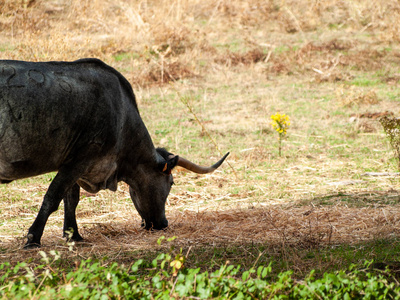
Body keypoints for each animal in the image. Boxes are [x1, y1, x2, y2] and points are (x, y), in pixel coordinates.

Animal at [0, 58, 228, 248]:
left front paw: (73, 235)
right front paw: (33, 238)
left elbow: (70, 200)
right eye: (171, 183)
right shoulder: (81, 160)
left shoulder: (74, 164)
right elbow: (53, 197)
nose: (163, 224)